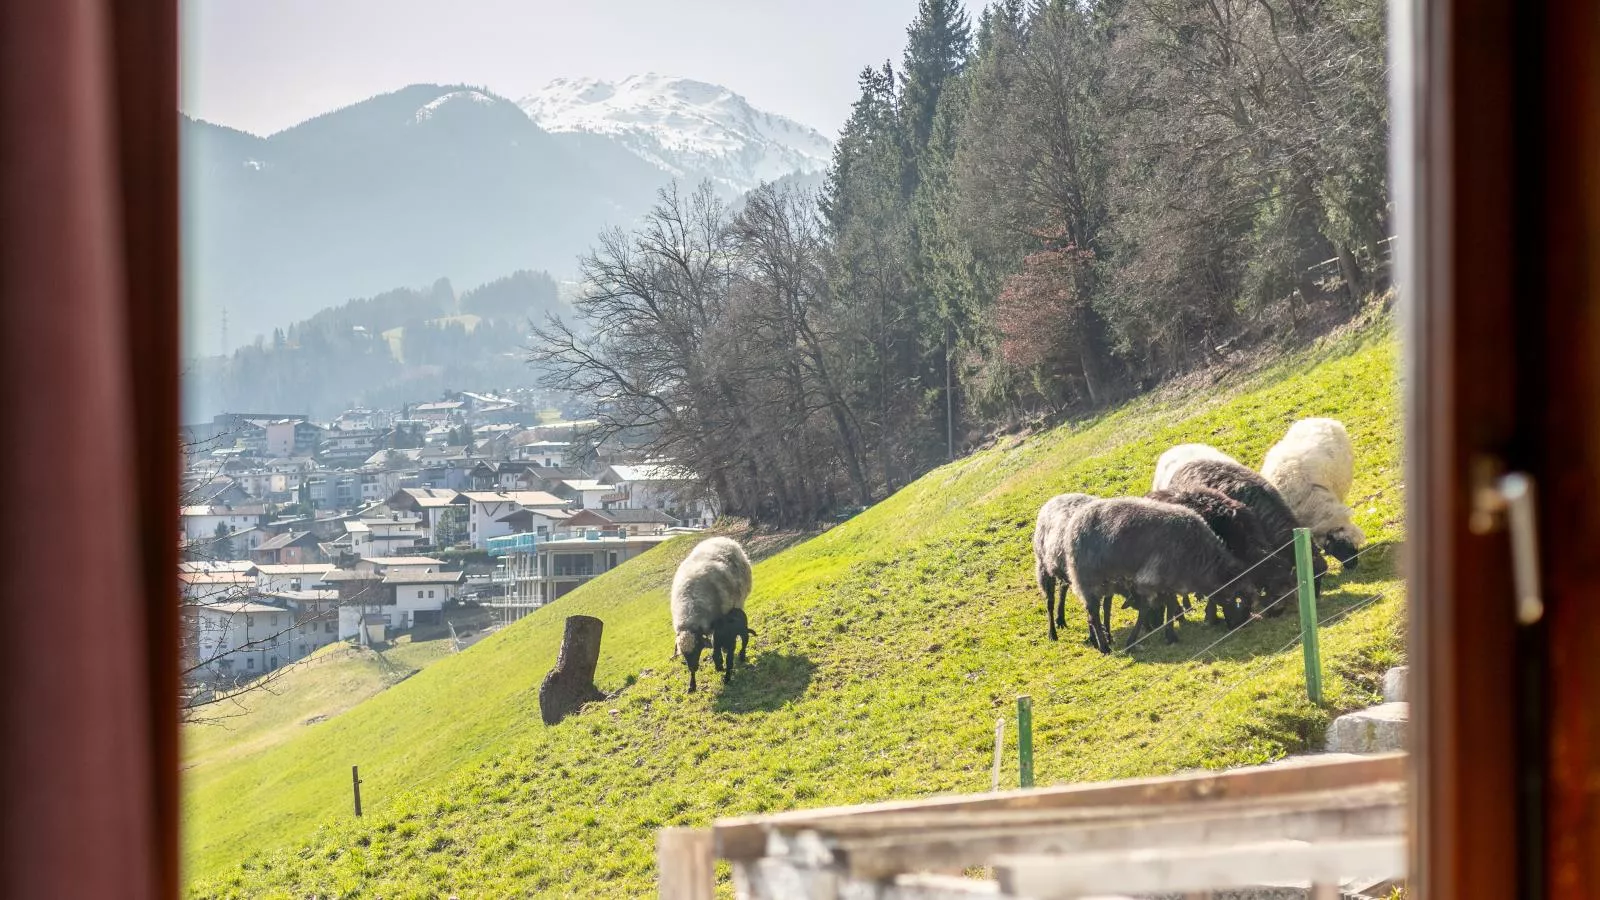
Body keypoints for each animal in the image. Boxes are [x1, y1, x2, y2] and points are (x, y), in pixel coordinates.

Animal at [672, 531, 752, 695]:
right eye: (684, 654)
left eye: (697, 649)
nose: (694, 667)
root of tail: (723, 538)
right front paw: (692, 685)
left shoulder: (718, 623)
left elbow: (716, 646)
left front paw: (719, 663)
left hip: (739, 602)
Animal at [1062, 496, 1260, 650]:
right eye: (1235, 598)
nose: (1236, 625)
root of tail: (1076, 521)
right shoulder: (1150, 581)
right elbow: (1145, 610)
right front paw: (1132, 642)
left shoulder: (1168, 583)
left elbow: (1170, 606)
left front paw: (1170, 635)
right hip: (1088, 581)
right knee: (1093, 615)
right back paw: (1104, 647)